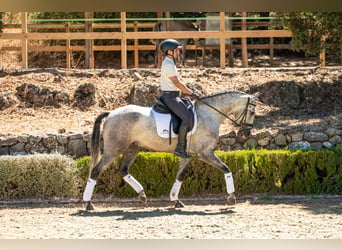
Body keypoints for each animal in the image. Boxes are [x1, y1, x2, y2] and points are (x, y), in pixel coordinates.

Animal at [83, 91, 260, 210]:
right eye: (252, 111)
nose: (247, 133)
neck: (209, 114)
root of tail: (112, 112)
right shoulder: (205, 153)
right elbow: (226, 168)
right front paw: (232, 197)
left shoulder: (188, 155)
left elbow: (179, 176)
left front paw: (175, 200)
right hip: (113, 149)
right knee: (96, 171)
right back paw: (88, 203)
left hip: (133, 147)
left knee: (123, 169)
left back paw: (142, 196)